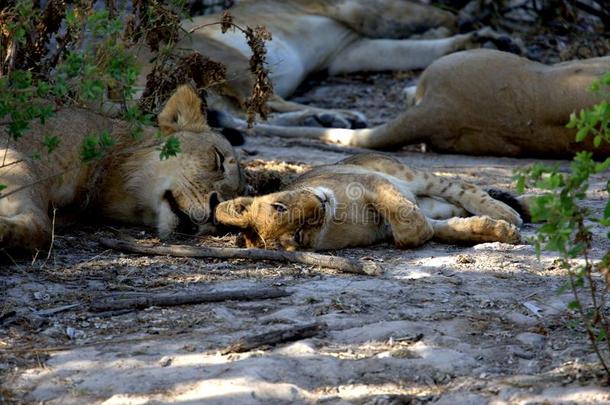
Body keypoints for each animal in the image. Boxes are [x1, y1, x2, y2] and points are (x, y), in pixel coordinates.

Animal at [135, 0, 510, 128]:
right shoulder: (352, 10)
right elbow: (427, 15)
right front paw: (479, 26)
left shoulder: (349, 50)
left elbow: (413, 49)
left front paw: (481, 40)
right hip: (227, 59)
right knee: (264, 104)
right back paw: (340, 116)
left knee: (248, 115)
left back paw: (325, 119)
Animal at [214, 153, 524, 251]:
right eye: (298, 235)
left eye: (279, 205)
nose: (319, 206)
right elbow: (424, 230)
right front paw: (497, 232)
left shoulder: (371, 182)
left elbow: (406, 220)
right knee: (451, 204)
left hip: (402, 172)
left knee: (461, 186)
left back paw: (507, 212)